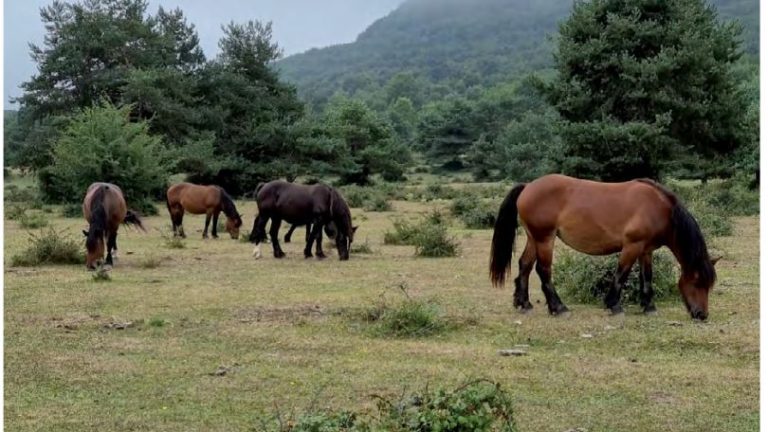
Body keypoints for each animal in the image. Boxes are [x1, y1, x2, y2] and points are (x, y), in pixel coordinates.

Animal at [492, 175, 720, 320]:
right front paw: (614, 305)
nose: (702, 315)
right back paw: (559, 308)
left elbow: (647, 277)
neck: (659, 208)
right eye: (698, 282)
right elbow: (621, 274)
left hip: (534, 238)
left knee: (525, 265)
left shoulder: (646, 250)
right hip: (545, 239)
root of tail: (528, 186)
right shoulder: (632, 246)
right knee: (543, 270)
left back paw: (524, 304)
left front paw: (649, 307)